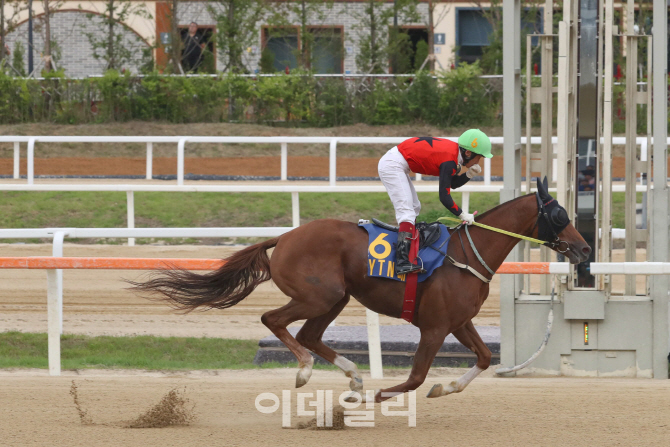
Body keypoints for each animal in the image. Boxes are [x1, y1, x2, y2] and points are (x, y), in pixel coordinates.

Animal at [129, 178, 592, 402]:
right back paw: (306, 370)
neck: (466, 253)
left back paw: (351, 375)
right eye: (559, 215)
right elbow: (415, 377)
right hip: (318, 294)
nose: (585, 248)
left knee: (309, 334)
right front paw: (379, 396)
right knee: (274, 321)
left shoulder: (459, 322)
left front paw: (444, 388)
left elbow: (480, 358)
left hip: (336, 297)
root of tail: (284, 237)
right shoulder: (435, 327)